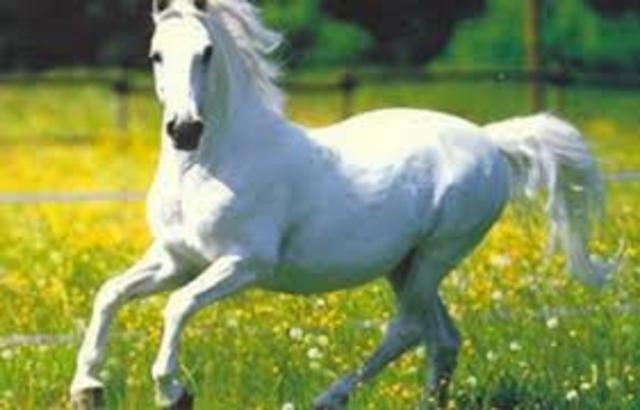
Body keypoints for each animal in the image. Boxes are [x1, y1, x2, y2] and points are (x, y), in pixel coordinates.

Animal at [70, 0, 614, 408]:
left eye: (205, 52)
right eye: (156, 54)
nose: (184, 130)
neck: (210, 165)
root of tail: (490, 141)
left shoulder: (244, 263)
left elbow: (178, 306)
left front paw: (173, 391)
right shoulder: (176, 259)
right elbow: (110, 293)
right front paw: (86, 387)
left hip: (435, 254)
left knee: (408, 329)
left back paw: (328, 397)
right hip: (405, 265)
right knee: (441, 338)